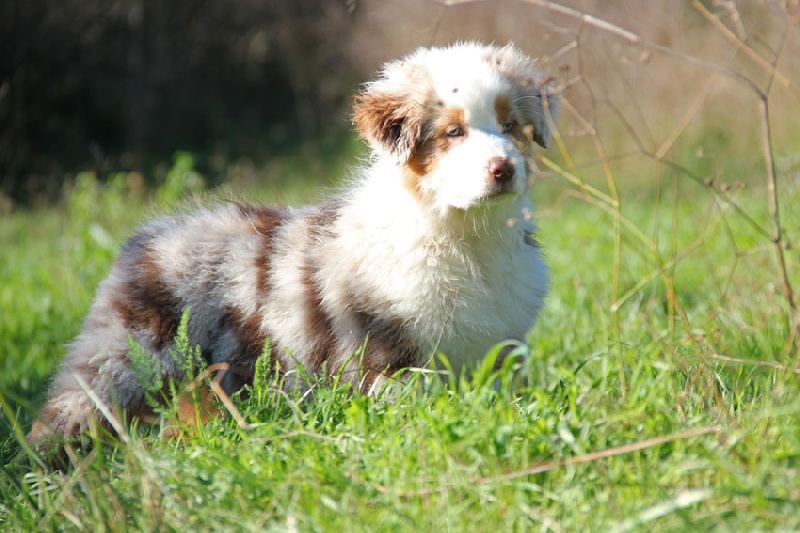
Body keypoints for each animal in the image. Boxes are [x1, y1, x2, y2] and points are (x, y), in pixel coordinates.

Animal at [27, 42, 557, 448]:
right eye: (453, 132)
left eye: (510, 126)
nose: (503, 169)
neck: (466, 234)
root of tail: (149, 235)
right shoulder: (384, 351)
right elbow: (405, 402)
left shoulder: (499, 346)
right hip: (128, 358)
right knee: (72, 407)